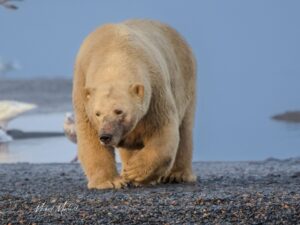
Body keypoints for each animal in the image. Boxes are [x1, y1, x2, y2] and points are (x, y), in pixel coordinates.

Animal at [72, 19, 197, 189]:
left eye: (119, 111)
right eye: (97, 113)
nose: (105, 136)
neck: (114, 51)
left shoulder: (155, 92)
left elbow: (162, 130)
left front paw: (134, 172)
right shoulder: (82, 91)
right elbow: (89, 137)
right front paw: (110, 181)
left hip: (184, 79)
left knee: (184, 129)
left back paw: (177, 175)